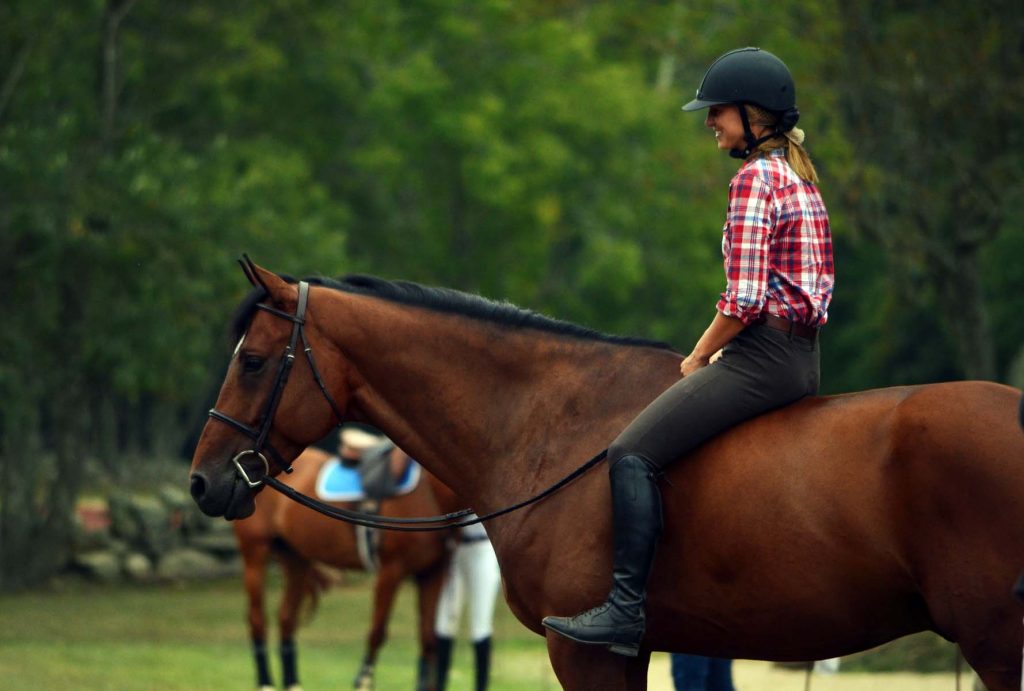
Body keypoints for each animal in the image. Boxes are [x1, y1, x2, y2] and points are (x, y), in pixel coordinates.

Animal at [234, 446, 458, 687]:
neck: (429, 493)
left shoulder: (434, 572)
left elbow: (428, 639)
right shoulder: (391, 570)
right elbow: (377, 632)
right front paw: (363, 681)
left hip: (294, 557)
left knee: (286, 617)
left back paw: (293, 684)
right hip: (255, 552)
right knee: (257, 619)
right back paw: (265, 683)